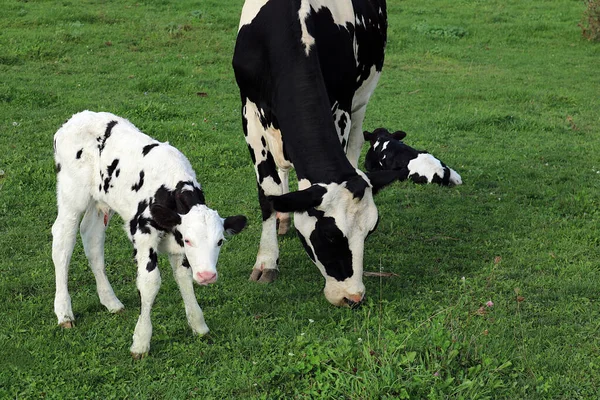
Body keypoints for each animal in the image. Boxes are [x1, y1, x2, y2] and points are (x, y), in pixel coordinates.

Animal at [52, 111, 246, 358]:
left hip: (100, 202)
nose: (206, 276)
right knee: (63, 241)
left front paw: (199, 325)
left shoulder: (177, 244)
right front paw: (141, 342)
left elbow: (183, 277)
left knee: (92, 238)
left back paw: (111, 301)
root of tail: (76, 118)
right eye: (190, 240)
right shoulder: (144, 234)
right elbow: (150, 282)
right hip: (72, 195)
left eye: (220, 241)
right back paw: (64, 312)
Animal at [233, 0, 398, 308]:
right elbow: (268, 192)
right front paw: (266, 261)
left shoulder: (342, 104)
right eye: (330, 235)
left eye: (370, 231)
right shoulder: (249, 110)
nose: (352, 297)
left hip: (361, 99)